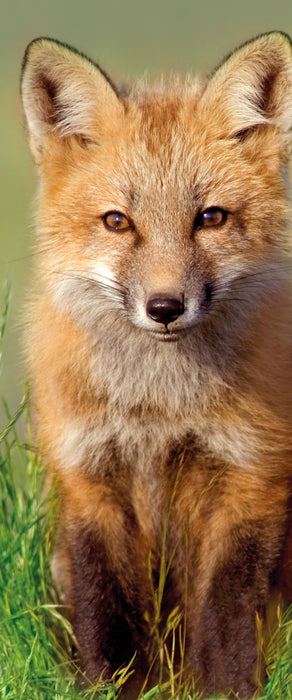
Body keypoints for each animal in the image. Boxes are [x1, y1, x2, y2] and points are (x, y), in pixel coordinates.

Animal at [21, 32, 292, 700]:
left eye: (210, 217)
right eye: (118, 222)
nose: (165, 307)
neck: (159, 408)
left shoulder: (250, 478)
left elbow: (225, 616)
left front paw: (226, 690)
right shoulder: (88, 478)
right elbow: (106, 611)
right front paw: (108, 686)